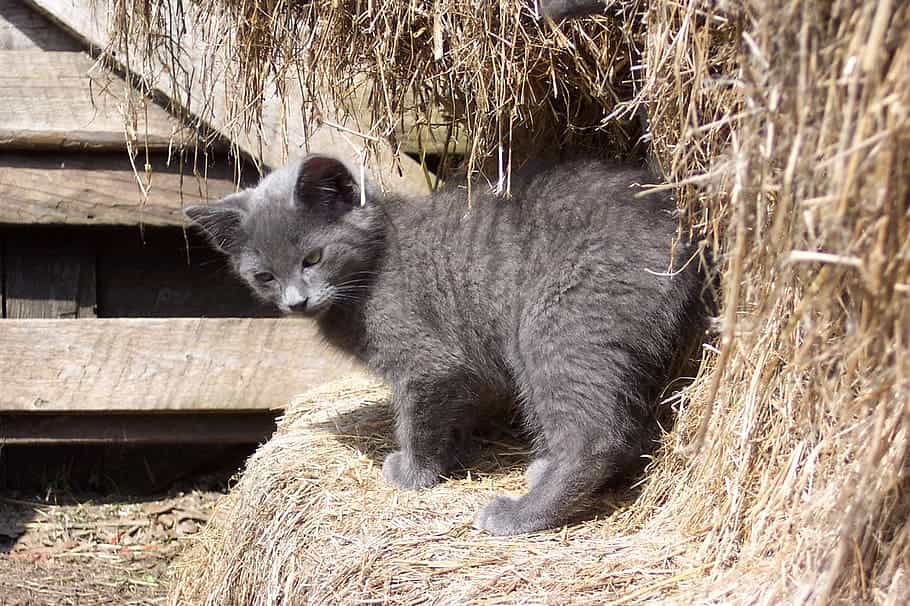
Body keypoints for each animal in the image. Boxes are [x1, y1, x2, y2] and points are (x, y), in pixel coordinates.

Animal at [187, 156, 712, 536]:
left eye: (313, 258)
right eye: (264, 276)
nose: (296, 301)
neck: (373, 267)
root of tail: (673, 225)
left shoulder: (427, 364)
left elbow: (417, 419)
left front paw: (413, 473)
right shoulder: (461, 369)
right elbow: (453, 413)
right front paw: (451, 457)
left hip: (555, 325)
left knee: (594, 436)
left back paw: (521, 514)